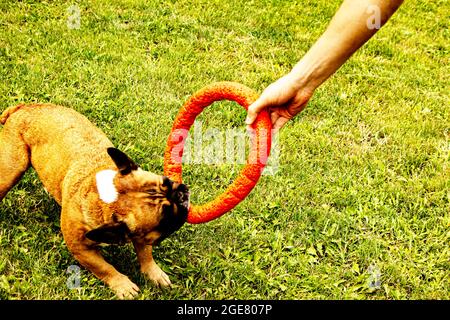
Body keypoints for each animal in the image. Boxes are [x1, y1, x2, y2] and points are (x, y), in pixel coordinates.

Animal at [0, 104, 190, 298]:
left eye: (167, 181)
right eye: (166, 218)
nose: (182, 194)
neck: (107, 198)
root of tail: (24, 107)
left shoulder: (140, 235)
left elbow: (145, 252)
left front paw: (153, 272)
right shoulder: (81, 249)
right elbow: (105, 268)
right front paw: (123, 284)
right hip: (10, 172)